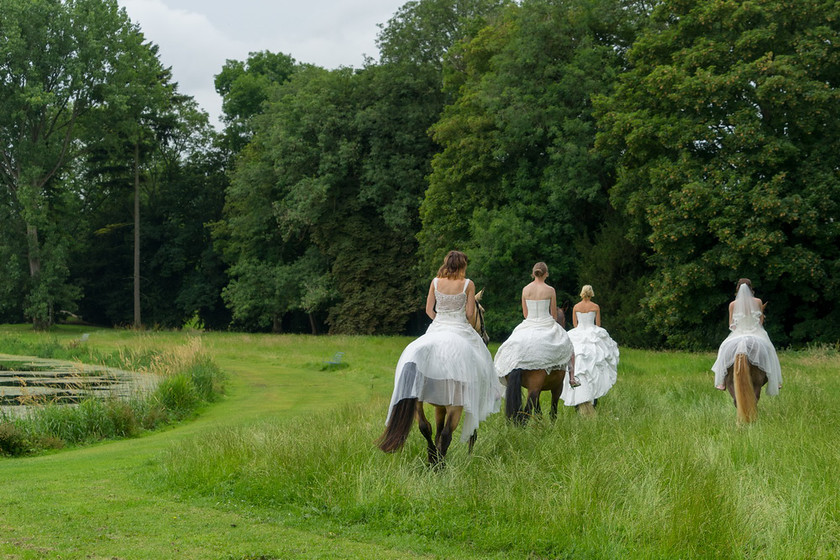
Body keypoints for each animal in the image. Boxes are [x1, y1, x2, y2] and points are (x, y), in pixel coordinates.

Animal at [378, 286, 488, 466]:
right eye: (483, 311)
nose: (486, 338)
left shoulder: (439, 406)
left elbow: (435, 431)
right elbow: (463, 432)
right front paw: (469, 456)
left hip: (417, 400)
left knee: (425, 427)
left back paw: (432, 460)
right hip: (455, 405)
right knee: (446, 433)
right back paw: (440, 465)